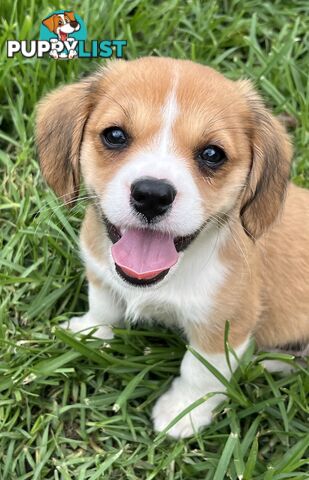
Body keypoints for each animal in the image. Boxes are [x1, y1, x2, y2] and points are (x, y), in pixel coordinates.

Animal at [36, 57, 308, 438]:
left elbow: (199, 374)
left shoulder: (224, 327)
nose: (152, 194)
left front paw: (183, 412)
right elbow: (103, 307)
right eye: (115, 135)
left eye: (212, 154)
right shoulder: (101, 273)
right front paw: (89, 333)